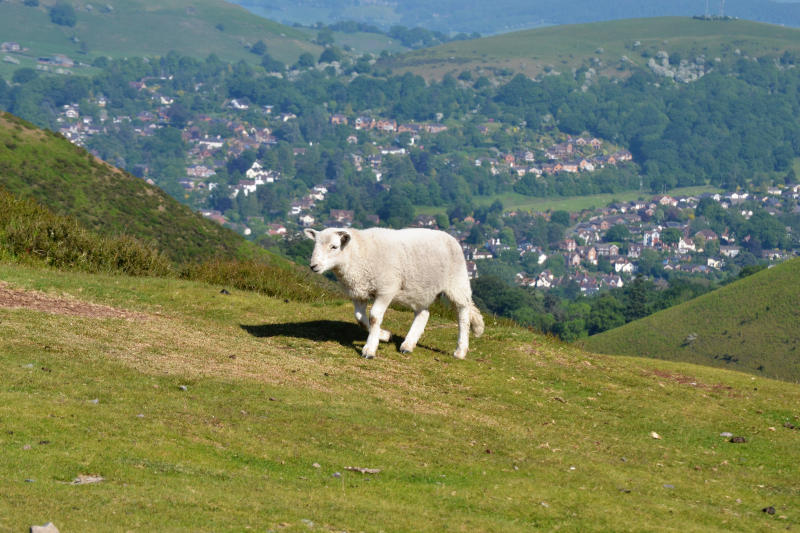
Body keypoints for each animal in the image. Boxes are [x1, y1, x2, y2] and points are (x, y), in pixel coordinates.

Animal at [304, 227, 482, 360]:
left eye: (334, 246)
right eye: (315, 245)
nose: (313, 266)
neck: (359, 254)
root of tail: (451, 238)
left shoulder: (386, 289)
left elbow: (374, 317)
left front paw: (370, 349)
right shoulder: (358, 292)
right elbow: (360, 318)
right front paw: (384, 335)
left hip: (457, 283)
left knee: (463, 315)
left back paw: (460, 350)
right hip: (419, 289)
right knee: (423, 314)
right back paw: (408, 345)